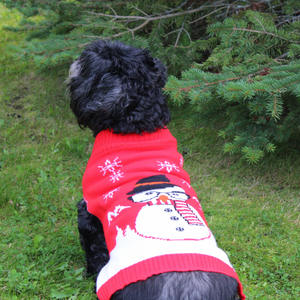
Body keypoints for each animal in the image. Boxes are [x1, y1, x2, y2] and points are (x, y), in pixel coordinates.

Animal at [67, 40, 244, 300]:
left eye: (96, 58)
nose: (91, 44)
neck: (139, 125)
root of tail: (188, 294)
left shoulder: (88, 209)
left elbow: (92, 249)